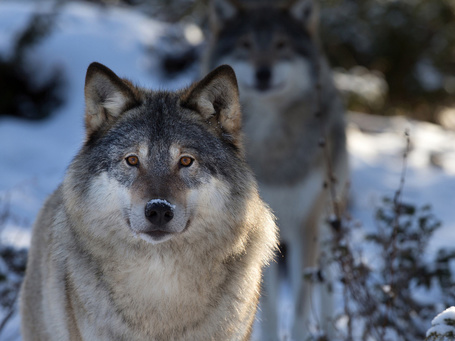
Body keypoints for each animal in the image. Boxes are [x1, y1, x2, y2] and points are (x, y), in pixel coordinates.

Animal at [203, 0, 350, 338]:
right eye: (246, 45)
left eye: (281, 45)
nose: (263, 72)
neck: (273, 148)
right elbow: (265, 307)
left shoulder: (306, 225)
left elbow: (299, 306)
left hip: (327, 223)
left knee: (327, 285)